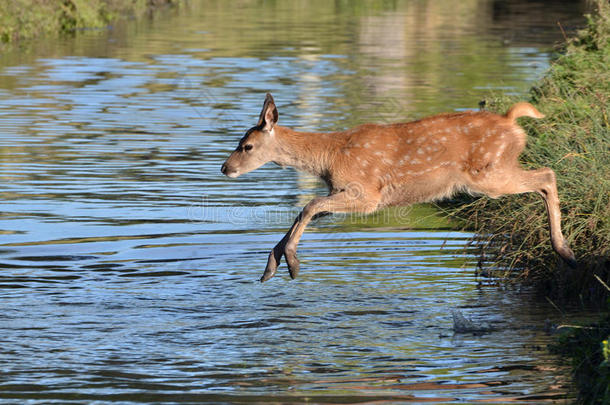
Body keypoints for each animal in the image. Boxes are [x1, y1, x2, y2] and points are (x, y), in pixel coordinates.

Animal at [218, 93, 576, 280]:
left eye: (246, 146)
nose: (225, 168)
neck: (329, 156)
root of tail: (512, 122)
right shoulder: (341, 191)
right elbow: (303, 213)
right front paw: (272, 264)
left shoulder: (367, 194)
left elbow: (308, 205)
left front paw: (291, 262)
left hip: (489, 173)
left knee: (547, 175)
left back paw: (565, 250)